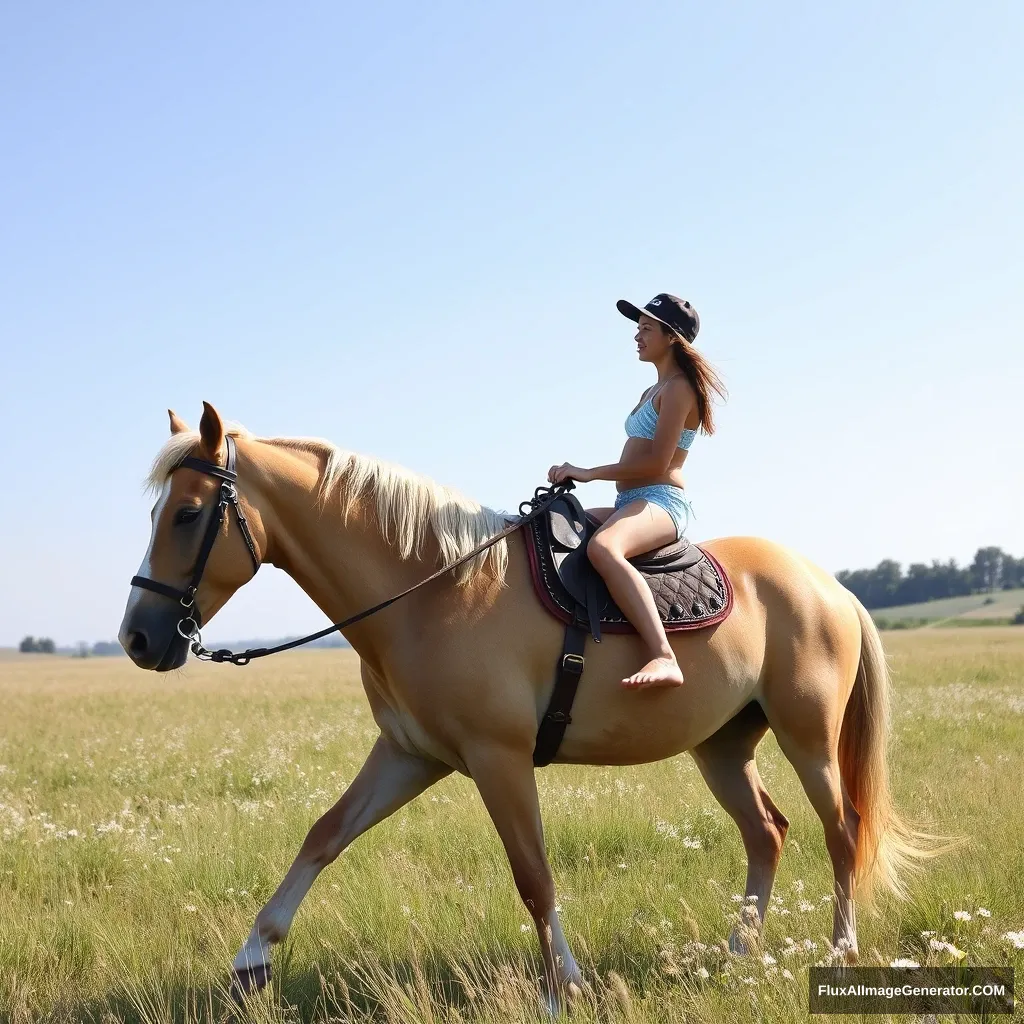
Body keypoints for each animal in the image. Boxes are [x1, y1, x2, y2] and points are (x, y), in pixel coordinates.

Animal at [117, 403, 929, 1011]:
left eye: (187, 515)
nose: (138, 637)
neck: (433, 589)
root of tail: (827, 584)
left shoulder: (497, 760)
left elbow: (534, 876)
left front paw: (562, 988)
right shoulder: (410, 755)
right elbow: (323, 835)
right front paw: (252, 958)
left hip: (807, 737)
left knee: (842, 830)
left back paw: (840, 952)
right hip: (723, 746)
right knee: (767, 833)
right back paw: (737, 953)